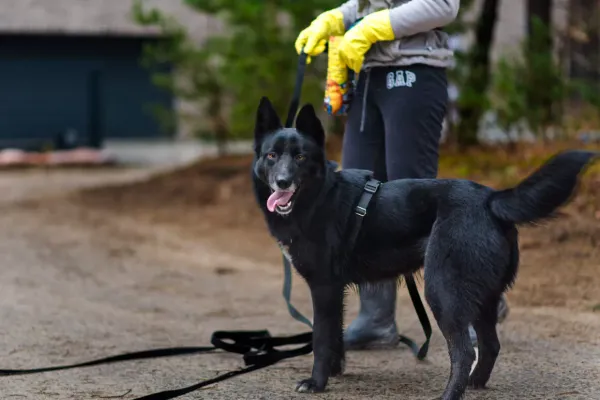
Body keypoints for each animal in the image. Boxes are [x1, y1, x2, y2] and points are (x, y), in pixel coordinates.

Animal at [252, 97, 596, 400]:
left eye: (300, 157)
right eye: (271, 156)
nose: (282, 182)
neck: (319, 195)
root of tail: (492, 199)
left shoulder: (324, 288)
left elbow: (322, 339)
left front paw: (317, 382)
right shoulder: (335, 292)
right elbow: (334, 335)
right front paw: (335, 372)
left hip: (443, 290)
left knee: (464, 352)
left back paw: (450, 394)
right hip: (481, 297)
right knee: (490, 345)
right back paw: (475, 383)